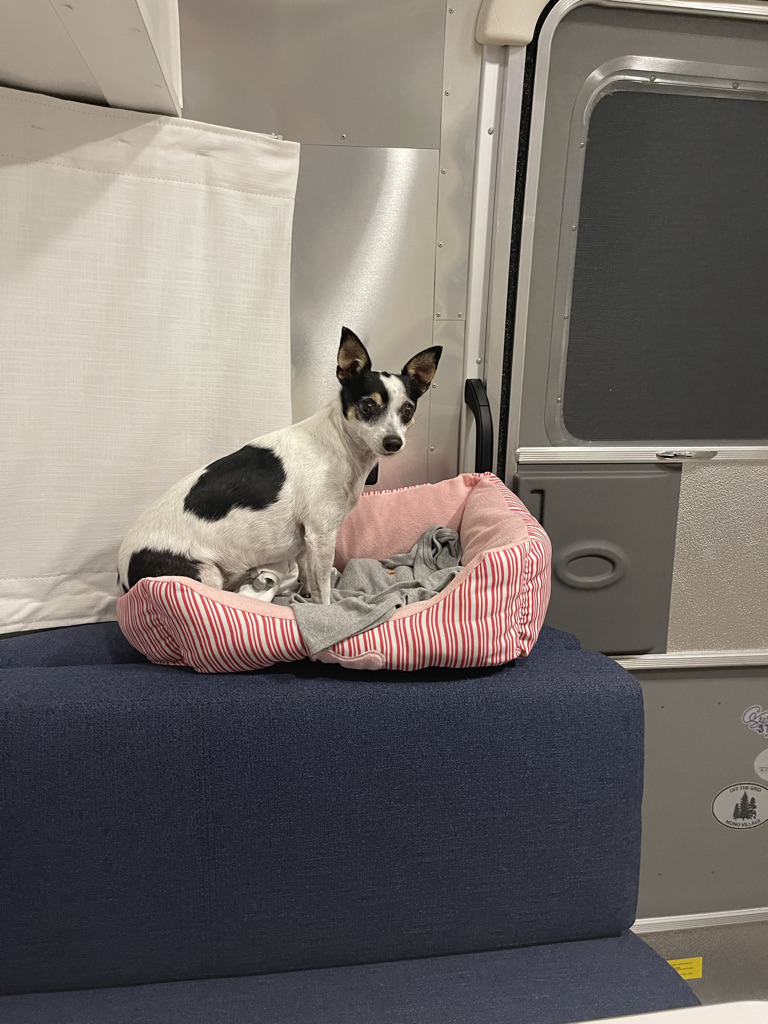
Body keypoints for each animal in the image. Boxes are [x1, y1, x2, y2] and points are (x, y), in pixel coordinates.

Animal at [117, 327, 442, 604]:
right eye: (368, 406)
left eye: (407, 410)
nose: (393, 442)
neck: (341, 443)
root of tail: (122, 576)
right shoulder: (322, 536)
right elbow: (324, 587)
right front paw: (327, 609)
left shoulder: (306, 540)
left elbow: (308, 575)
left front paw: (306, 595)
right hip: (205, 574)